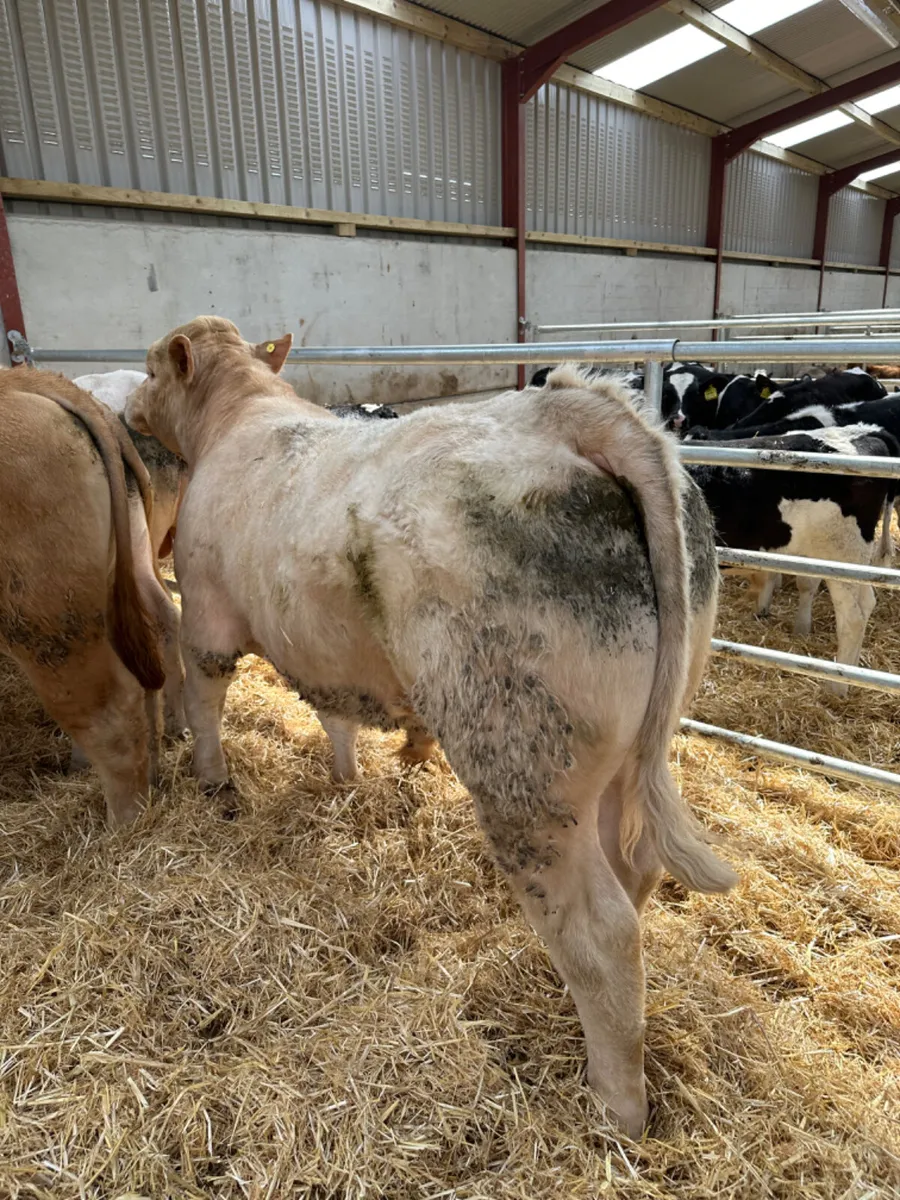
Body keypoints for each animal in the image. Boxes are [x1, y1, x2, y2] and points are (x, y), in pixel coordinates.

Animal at [126, 326, 737, 1136]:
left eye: (153, 367)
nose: (129, 404)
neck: (236, 415)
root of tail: (567, 412)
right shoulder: (329, 647)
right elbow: (336, 713)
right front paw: (358, 773)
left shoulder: (207, 614)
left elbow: (203, 702)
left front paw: (213, 780)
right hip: (620, 754)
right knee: (631, 874)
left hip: (522, 764)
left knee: (601, 928)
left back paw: (616, 1106)